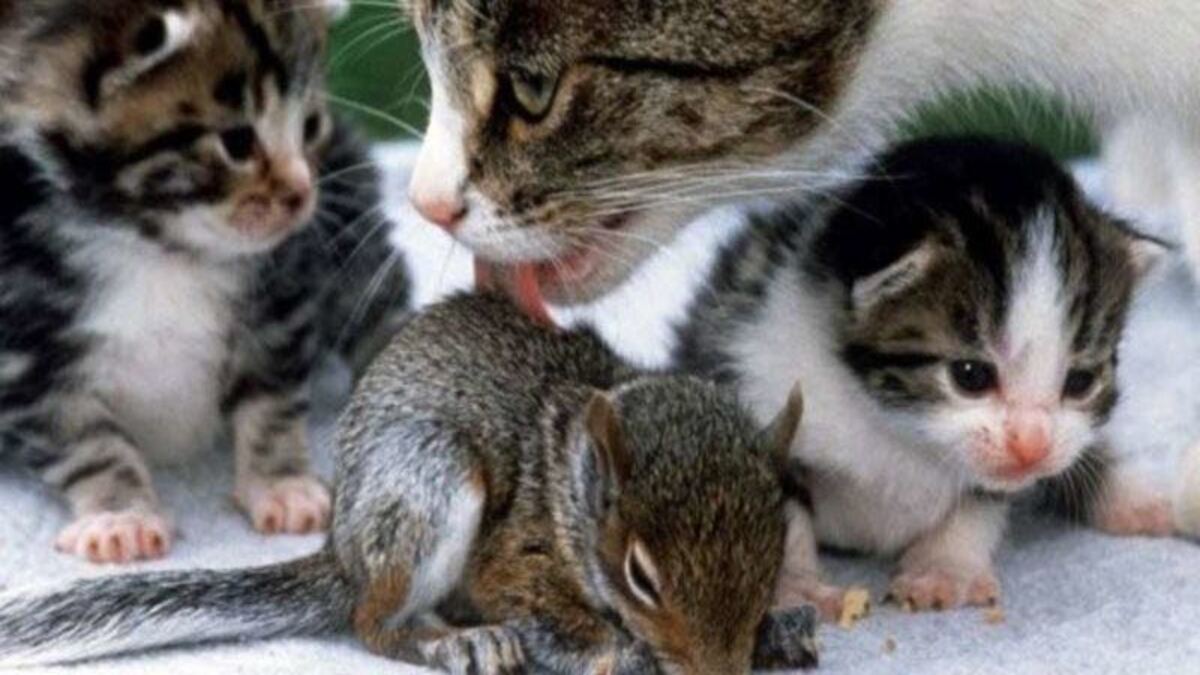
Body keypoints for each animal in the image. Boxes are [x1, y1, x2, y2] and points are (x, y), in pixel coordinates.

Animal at [0, 0, 410, 562]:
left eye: (309, 127)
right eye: (237, 141)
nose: (303, 195)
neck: (156, 244)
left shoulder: (280, 294)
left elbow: (272, 399)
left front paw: (281, 484)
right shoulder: (27, 346)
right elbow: (85, 440)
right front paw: (120, 513)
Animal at [0, 294, 816, 672]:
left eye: (775, 554)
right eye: (641, 576)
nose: (719, 670)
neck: (570, 485)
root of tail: (345, 552)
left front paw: (778, 629)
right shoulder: (515, 554)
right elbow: (553, 618)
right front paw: (625, 650)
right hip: (429, 480)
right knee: (371, 621)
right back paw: (459, 642)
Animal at [681, 136, 1166, 614]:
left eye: (1080, 382)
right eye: (970, 375)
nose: (1032, 448)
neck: (895, 430)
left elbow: (980, 502)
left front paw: (946, 568)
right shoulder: (753, 372)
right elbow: (779, 507)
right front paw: (793, 586)